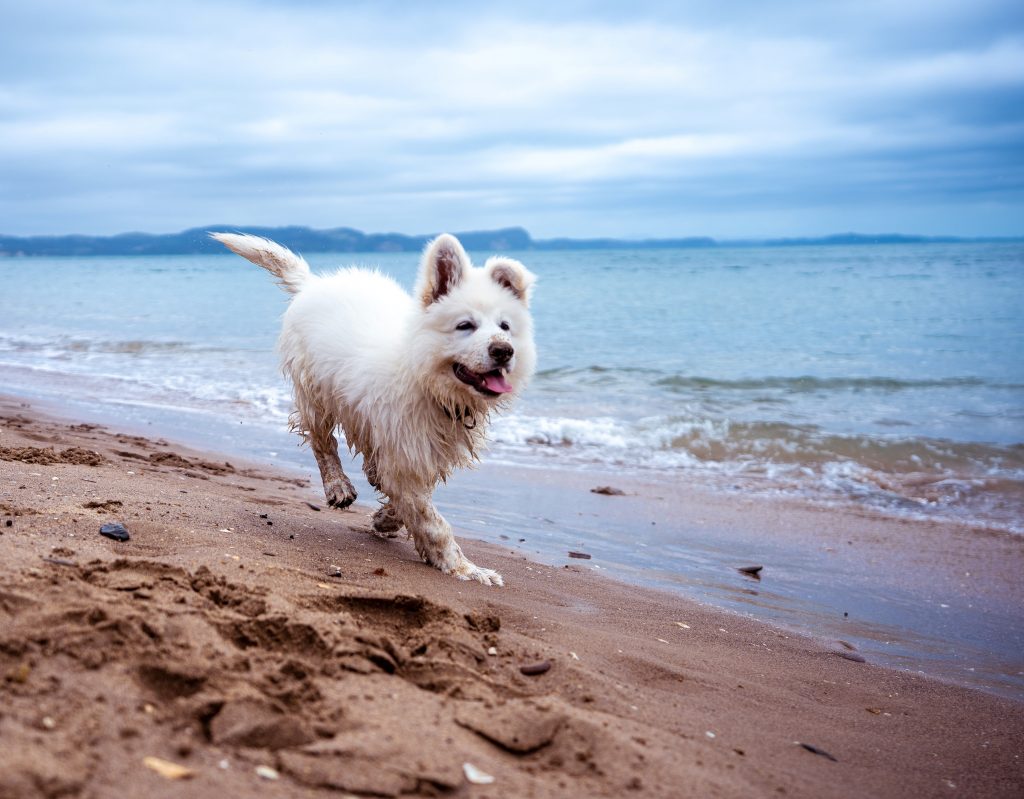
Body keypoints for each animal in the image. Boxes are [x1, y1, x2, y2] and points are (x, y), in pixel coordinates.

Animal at [212, 230, 540, 585]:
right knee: (322, 442)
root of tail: (313, 283)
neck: (425, 377)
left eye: (505, 327)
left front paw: (386, 519)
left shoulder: (418, 451)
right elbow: (432, 521)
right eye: (465, 325)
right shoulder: (405, 450)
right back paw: (338, 485)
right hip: (315, 391)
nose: (503, 351)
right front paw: (466, 569)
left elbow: (409, 500)